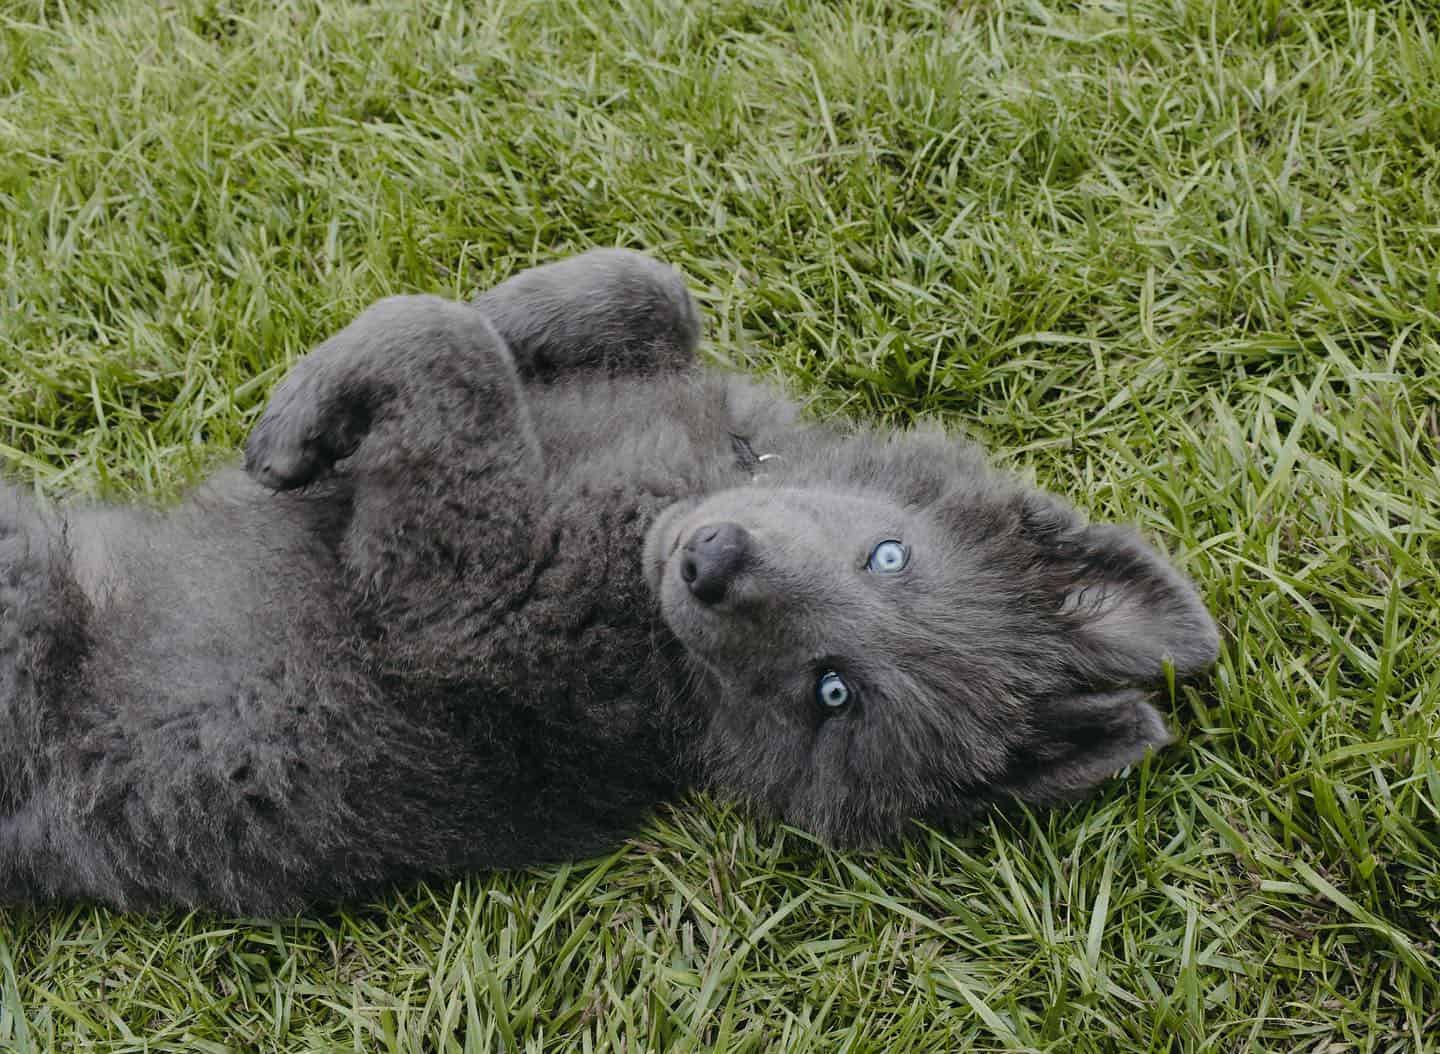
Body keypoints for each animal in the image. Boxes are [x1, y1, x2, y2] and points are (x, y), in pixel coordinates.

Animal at [0, 250, 1221, 910]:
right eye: (889, 555)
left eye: (831, 694)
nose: (712, 564)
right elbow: (648, 290)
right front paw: (516, 312)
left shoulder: (459, 591)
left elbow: (448, 354)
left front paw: (307, 415)